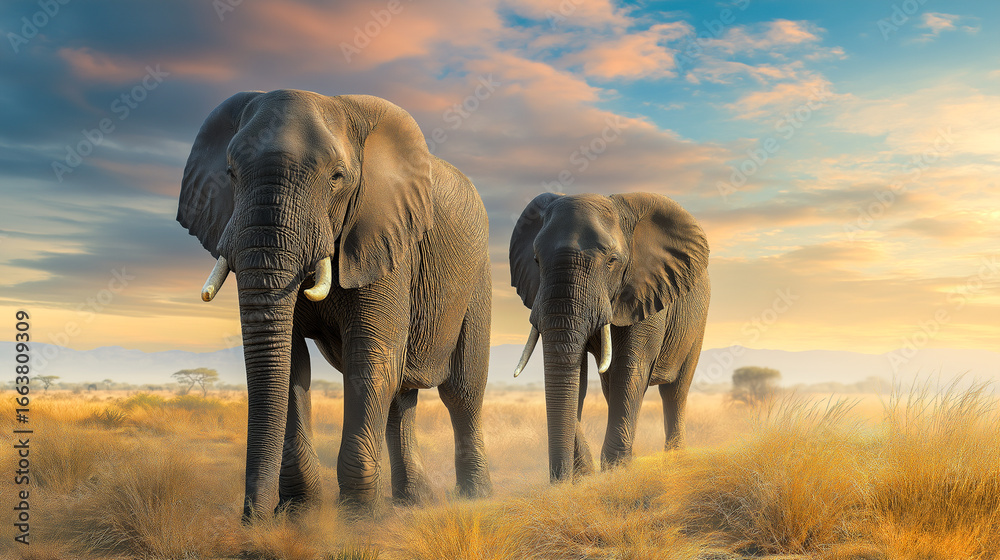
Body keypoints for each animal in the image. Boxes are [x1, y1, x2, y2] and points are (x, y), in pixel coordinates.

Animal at [177, 89, 493, 519]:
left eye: (336, 177)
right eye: (231, 173)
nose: (251, 521)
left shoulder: (385, 234)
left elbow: (369, 357)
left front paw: (357, 520)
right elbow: (292, 364)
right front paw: (299, 515)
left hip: (478, 277)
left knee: (462, 391)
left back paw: (475, 497)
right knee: (401, 395)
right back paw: (413, 501)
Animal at [509, 192, 710, 482]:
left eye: (612, 261)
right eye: (536, 260)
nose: (559, 482)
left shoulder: (645, 290)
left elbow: (630, 368)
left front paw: (618, 470)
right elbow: (577, 377)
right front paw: (587, 476)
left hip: (697, 322)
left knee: (674, 391)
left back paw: (676, 460)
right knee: (609, 387)